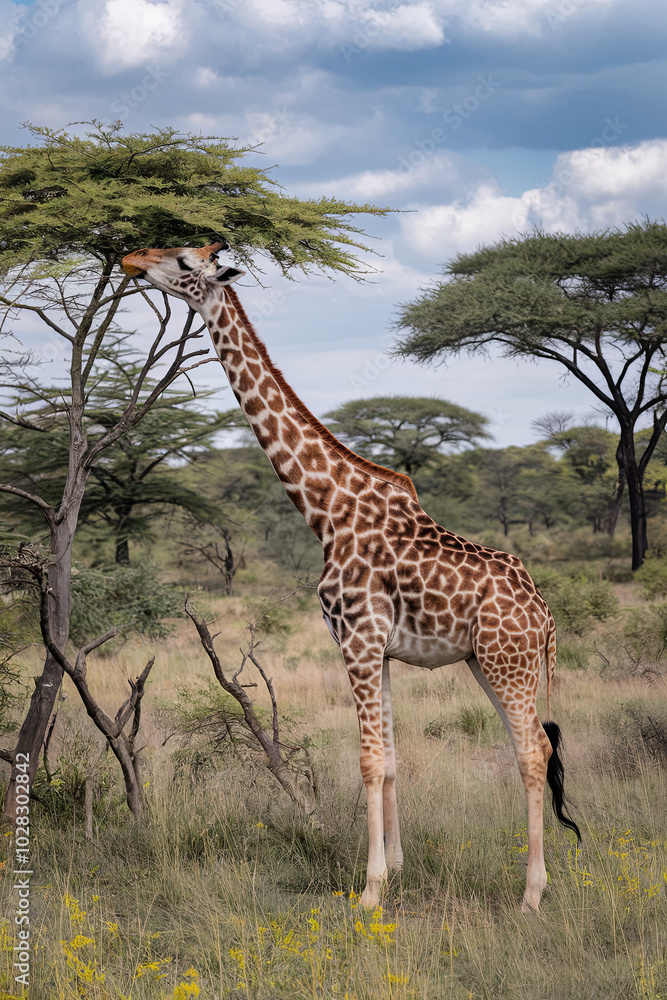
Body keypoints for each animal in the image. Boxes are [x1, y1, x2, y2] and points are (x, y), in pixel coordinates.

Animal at [121, 240, 581, 912]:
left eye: (182, 260)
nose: (131, 259)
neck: (325, 509)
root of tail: (546, 618)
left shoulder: (358, 639)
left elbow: (365, 760)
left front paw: (368, 892)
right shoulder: (381, 649)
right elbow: (388, 759)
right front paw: (397, 870)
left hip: (507, 661)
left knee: (529, 751)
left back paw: (531, 894)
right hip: (486, 662)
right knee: (536, 747)